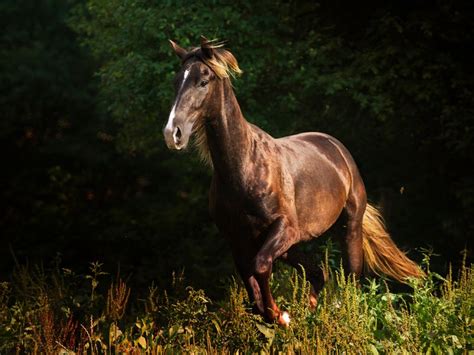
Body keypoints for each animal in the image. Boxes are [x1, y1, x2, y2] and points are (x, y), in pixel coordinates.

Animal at [163, 37, 422, 326]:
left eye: (203, 81)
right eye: (176, 81)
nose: (172, 133)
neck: (244, 168)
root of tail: (337, 148)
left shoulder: (284, 228)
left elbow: (261, 266)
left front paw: (281, 315)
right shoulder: (238, 239)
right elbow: (252, 287)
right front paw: (276, 315)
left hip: (348, 228)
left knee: (351, 279)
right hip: (293, 245)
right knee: (319, 273)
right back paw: (312, 312)